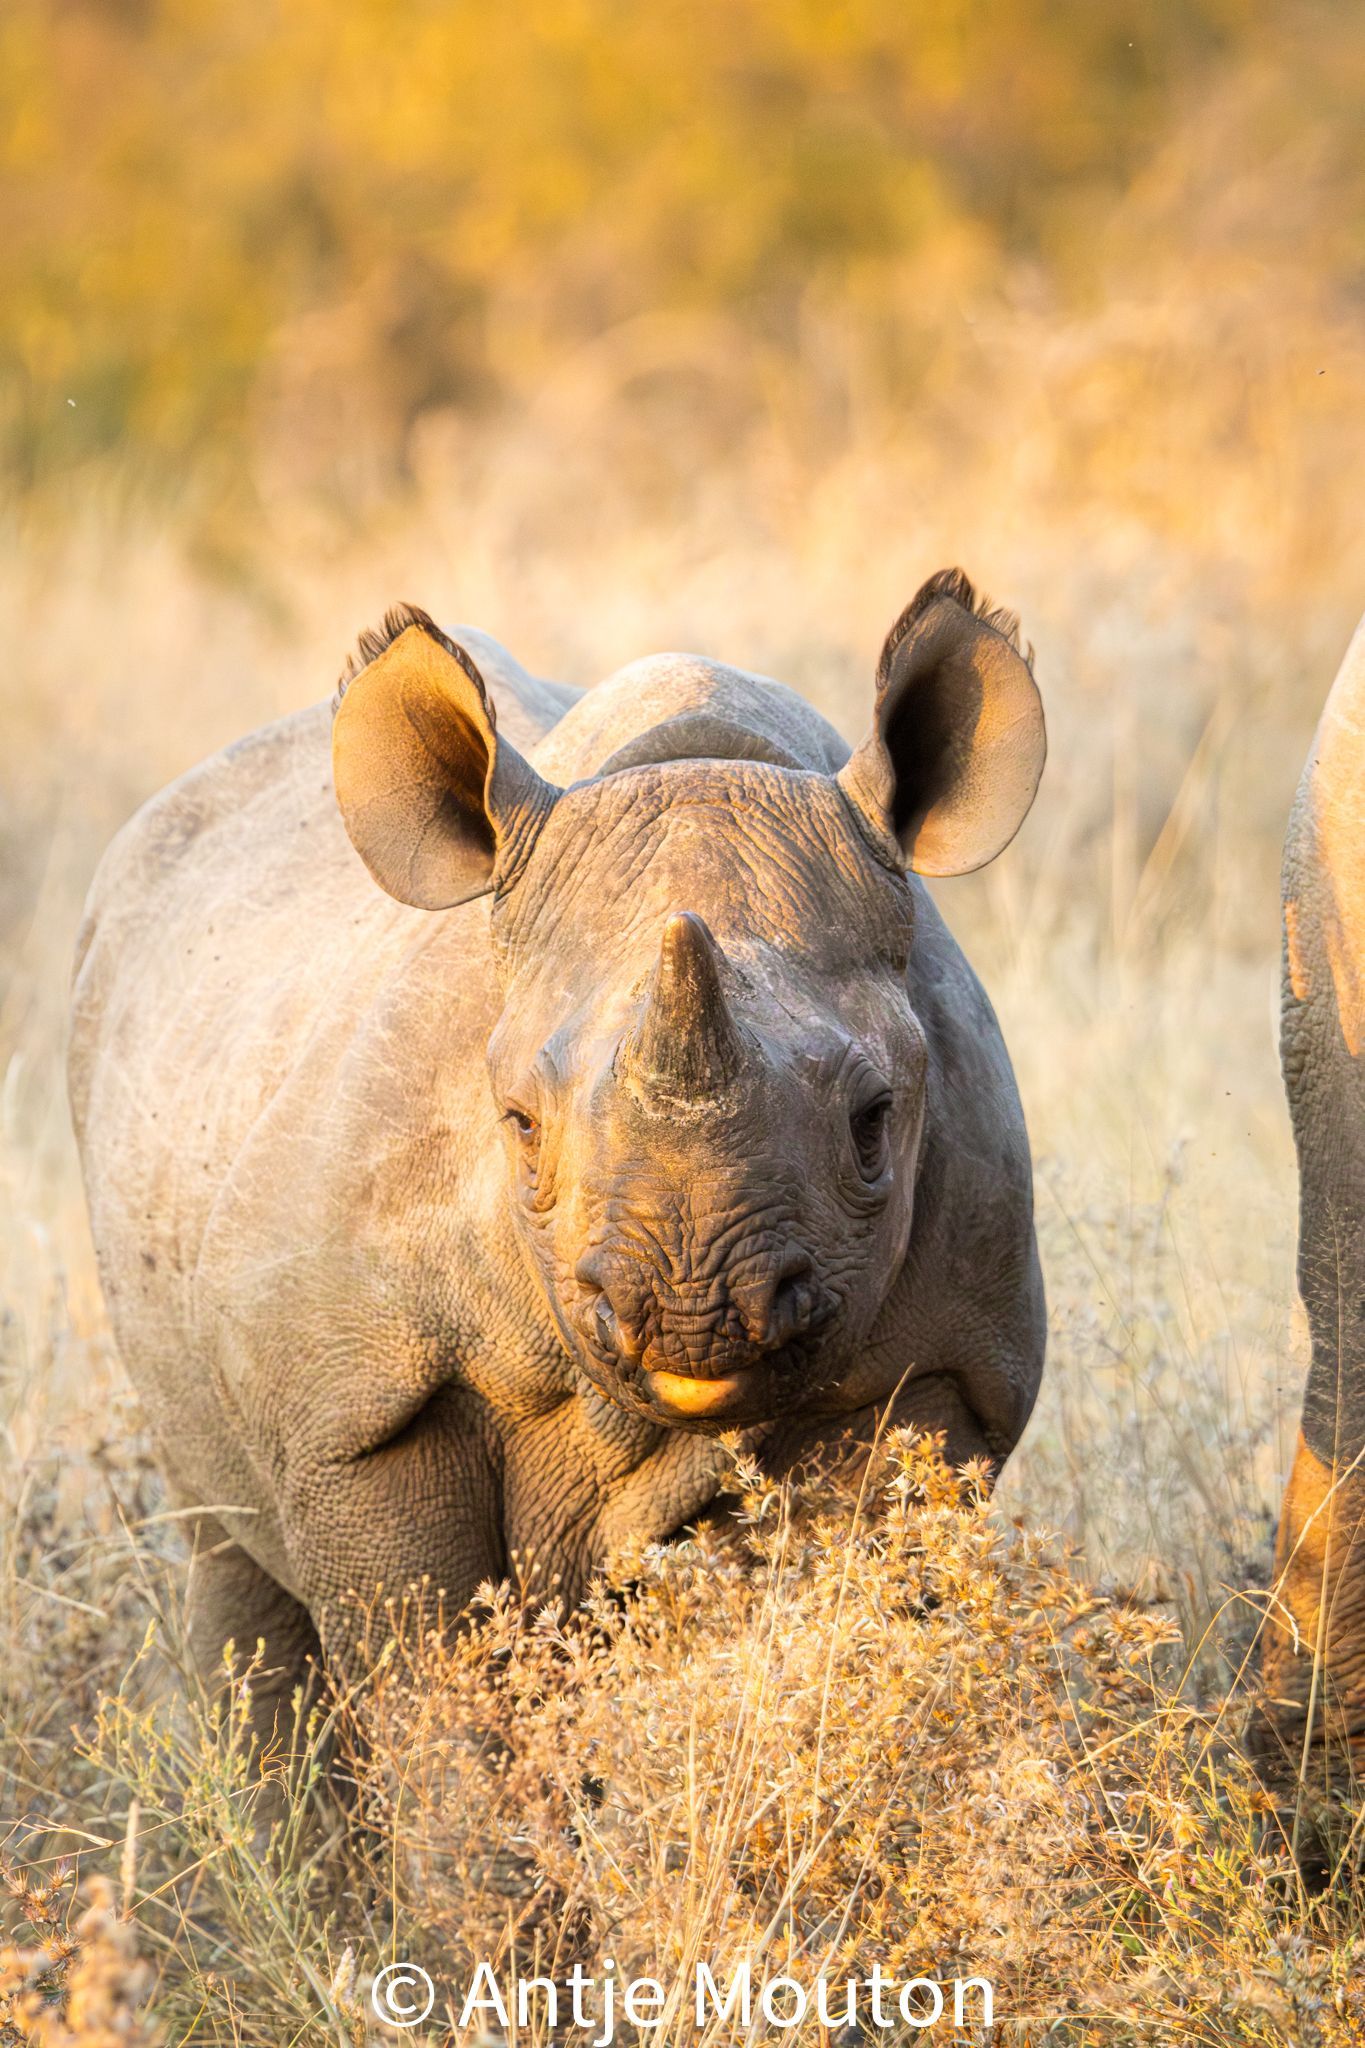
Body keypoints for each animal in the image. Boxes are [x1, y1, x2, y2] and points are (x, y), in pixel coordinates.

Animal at [68, 567, 1047, 1725]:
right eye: (519, 1126)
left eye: (873, 1121)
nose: (693, 1309)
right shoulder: (357, 1412)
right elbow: (431, 1692)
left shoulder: (942, 1364)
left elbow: (842, 1648)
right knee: (225, 1547)